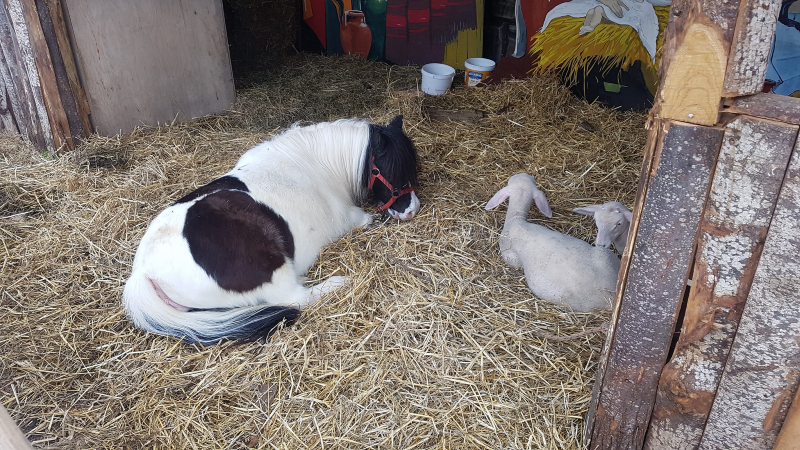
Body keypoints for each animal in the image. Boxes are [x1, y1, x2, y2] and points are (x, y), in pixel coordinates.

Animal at [122, 116, 418, 344]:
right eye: (393, 171)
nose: (411, 210)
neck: (316, 166)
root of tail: (144, 272)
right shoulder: (350, 218)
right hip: (274, 269)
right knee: (297, 298)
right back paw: (338, 283)